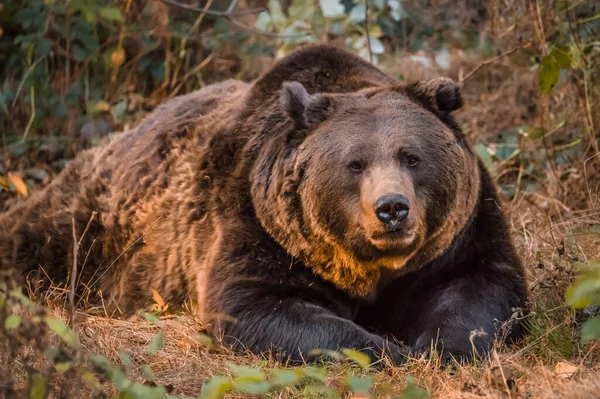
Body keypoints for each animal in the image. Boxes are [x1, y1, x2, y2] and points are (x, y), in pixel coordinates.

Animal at [0, 46, 524, 366]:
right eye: (355, 164)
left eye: (411, 157)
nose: (392, 208)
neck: (371, 268)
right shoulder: (259, 225)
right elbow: (256, 305)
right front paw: (385, 350)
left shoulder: (459, 233)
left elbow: (482, 289)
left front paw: (434, 347)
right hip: (94, 228)